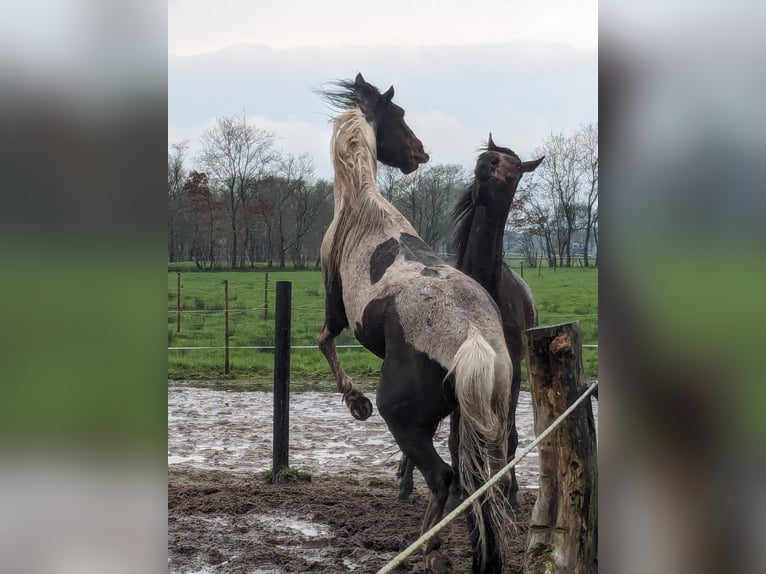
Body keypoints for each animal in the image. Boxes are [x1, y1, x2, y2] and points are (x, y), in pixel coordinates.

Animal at [316, 74, 520, 572]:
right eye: (401, 115)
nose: (420, 152)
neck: (363, 206)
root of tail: (473, 339)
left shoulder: (334, 306)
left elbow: (324, 341)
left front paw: (356, 404)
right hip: (482, 421)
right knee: (481, 483)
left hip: (405, 420)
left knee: (442, 477)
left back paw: (430, 550)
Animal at [400, 136, 544, 512]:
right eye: (492, 155)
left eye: (516, 165)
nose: (487, 162)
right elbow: (454, 436)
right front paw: (456, 495)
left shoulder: (511, 371)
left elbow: (508, 435)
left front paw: (509, 492)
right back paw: (405, 484)